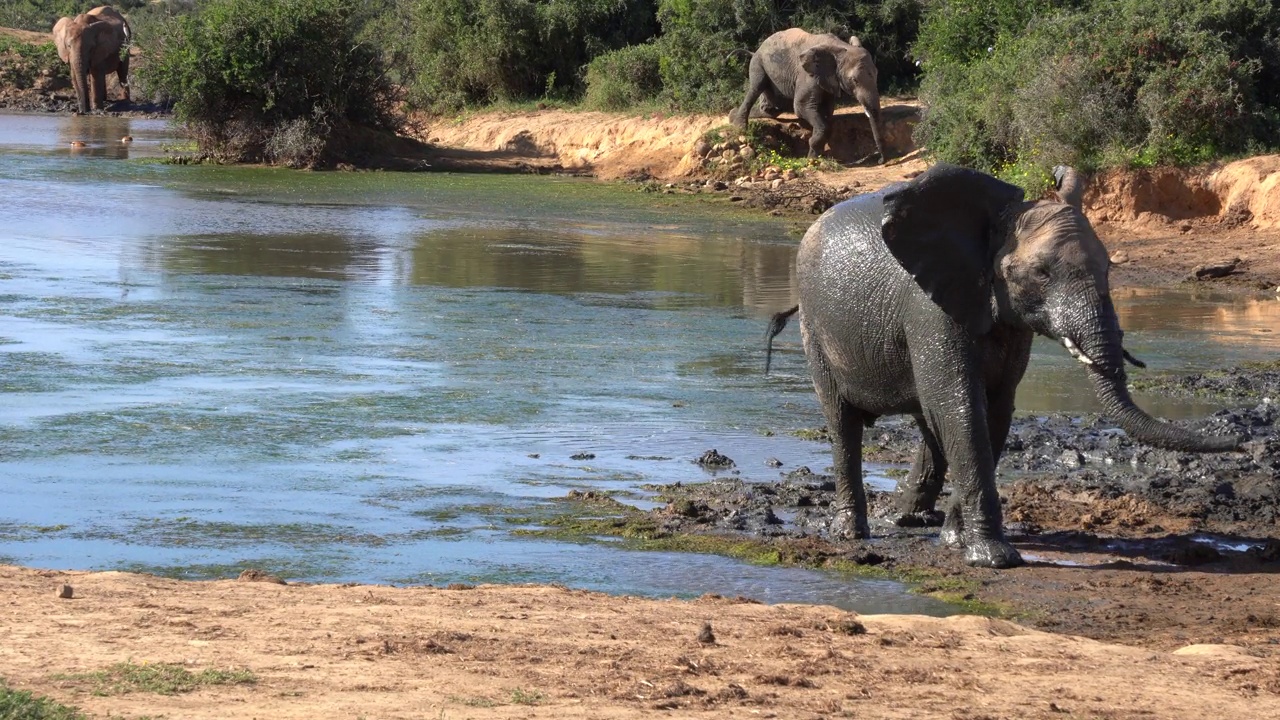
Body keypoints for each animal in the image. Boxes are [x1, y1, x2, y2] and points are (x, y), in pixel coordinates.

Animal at [727, 28, 885, 162]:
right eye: (854, 80)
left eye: (877, 74)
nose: (880, 160)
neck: (840, 47)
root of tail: (755, 51)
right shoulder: (807, 75)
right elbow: (801, 106)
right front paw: (812, 159)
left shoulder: (828, 78)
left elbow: (827, 110)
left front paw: (817, 154)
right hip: (758, 63)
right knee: (756, 87)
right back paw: (739, 125)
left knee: (772, 109)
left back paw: (733, 115)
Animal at [762, 163, 1244, 566]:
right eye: (1042, 274)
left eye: (1109, 267)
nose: (1239, 444)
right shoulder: (930, 310)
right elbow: (961, 407)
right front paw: (994, 558)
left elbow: (991, 410)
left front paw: (957, 542)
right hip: (815, 327)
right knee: (844, 421)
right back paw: (853, 534)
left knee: (927, 420)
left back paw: (909, 520)